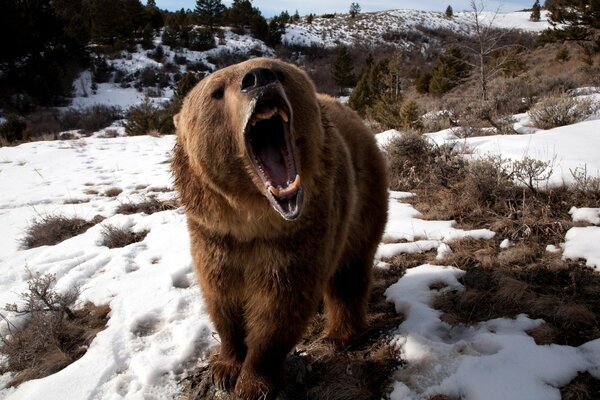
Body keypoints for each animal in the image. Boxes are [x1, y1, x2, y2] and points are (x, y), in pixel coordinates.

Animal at [172, 57, 390, 398]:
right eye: (216, 91)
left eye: (278, 71)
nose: (258, 78)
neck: (252, 219)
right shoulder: (214, 235)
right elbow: (221, 297)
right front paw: (225, 367)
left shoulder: (296, 236)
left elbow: (279, 307)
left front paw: (253, 381)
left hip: (362, 199)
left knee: (349, 271)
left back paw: (339, 335)